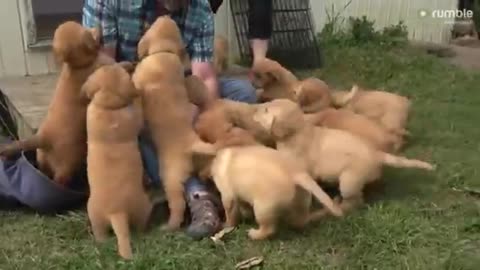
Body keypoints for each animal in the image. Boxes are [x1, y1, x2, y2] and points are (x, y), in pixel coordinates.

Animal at [0, 21, 114, 186]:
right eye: (87, 32)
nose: (99, 26)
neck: (75, 66)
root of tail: (43, 138)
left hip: (43, 161)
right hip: (66, 165)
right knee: (60, 180)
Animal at [132, 15, 217, 230]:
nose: (166, 15)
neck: (164, 51)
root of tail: (193, 143)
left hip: (171, 177)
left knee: (177, 203)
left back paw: (170, 225)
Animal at [209, 144, 342, 239]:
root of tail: (296, 174)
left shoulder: (228, 196)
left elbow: (230, 214)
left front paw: (226, 225)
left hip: (262, 208)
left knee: (269, 229)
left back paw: (254, 234)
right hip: (301, 200)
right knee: (300, 221)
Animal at [253, 99, 436, 215]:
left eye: (266, 110)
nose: (254, 108)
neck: (296, 133)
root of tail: (377, 154)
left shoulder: (302, 172)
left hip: (349, 181)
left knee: (356, 201)